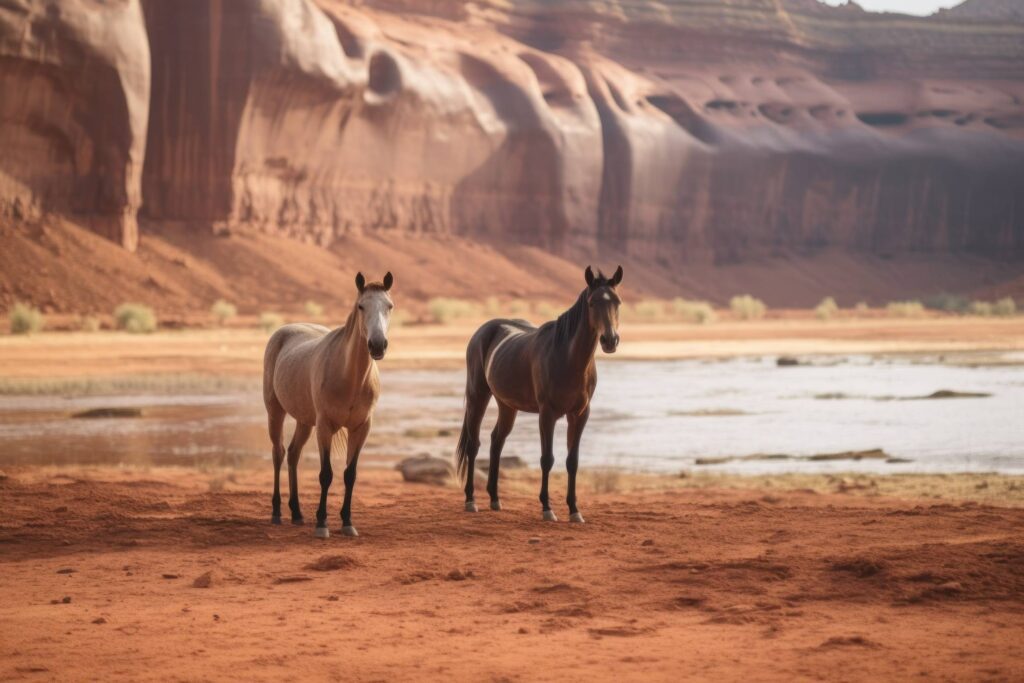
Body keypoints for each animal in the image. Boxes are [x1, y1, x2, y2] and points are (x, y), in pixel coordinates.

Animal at [262, 272, 393, 540]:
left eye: (389, 306)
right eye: (361, 306)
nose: (377, 345)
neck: (350, 378)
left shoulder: (361, 428)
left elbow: (350, 475)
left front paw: (347, 522)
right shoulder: (325, 426)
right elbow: (326, 474)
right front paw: (322, 523)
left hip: (304, 421)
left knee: (293, 454)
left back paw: (297, 512)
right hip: (275, 411)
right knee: (278, 453)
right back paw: (277, 512)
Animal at [458, 266, 622, 524]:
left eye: (617, 302)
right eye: (592, 302)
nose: (610, 340)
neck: (567, 357)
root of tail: (483, 331)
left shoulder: (580, 414)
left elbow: (572, 461)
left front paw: (574, 510)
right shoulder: (547, 414)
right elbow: (547, 459)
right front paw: (547, 508)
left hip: (507, 405)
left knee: (497, 441)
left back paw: (495, 499)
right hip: (478, 396)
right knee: (474, 445)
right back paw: (471, 500)